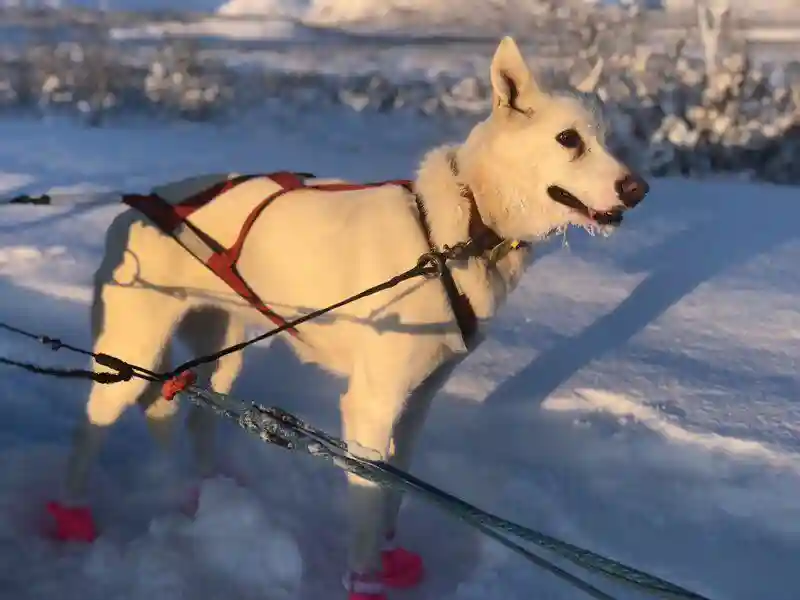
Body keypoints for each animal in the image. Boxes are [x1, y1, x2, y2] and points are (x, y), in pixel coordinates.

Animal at [47, 37, 648, 600]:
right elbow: (367, 498)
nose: (638, 188)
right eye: (569, 140)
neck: (455, 233)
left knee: (195, 419)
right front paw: (365, 580)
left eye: (609, 140)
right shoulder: (372, 404)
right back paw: (70, 513)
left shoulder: (416, 404)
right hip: (131, 355)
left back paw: (204, 495)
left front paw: (389, 554)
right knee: (89, 429)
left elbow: (395, 489)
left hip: (223, 356)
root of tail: (136, 207)